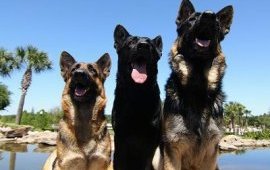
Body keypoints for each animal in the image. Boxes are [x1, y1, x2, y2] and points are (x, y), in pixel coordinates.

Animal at [112, 24, 162, 170]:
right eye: (130, 42)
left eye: (150, 45)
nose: (143, 46)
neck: (137, 93)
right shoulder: (121, 141)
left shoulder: (150, 144)